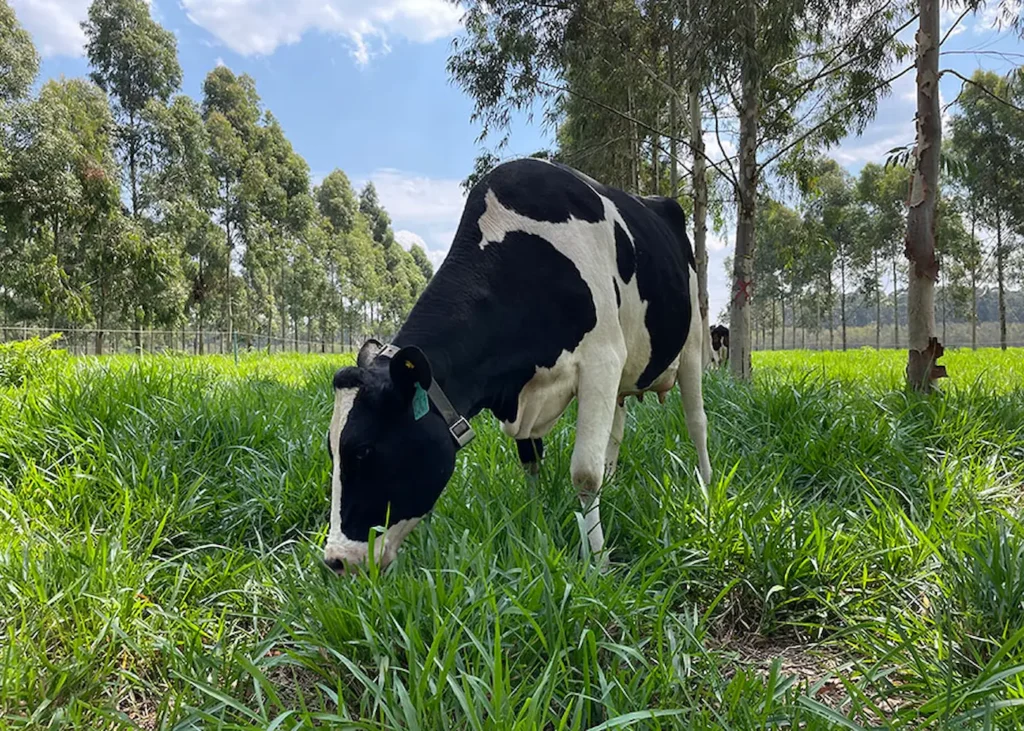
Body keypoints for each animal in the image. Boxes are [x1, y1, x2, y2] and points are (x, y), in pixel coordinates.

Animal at [323, 158, 712, 574]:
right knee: (616, 432)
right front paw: (535, 523)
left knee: (696, 421)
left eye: (364, 451)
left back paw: (706, 488)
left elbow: (584, 474)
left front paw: (598, 562)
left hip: (692, 340)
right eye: (331, 451)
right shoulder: (529, 386)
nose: (336, 560)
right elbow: (531, 461)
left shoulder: (602, 359)